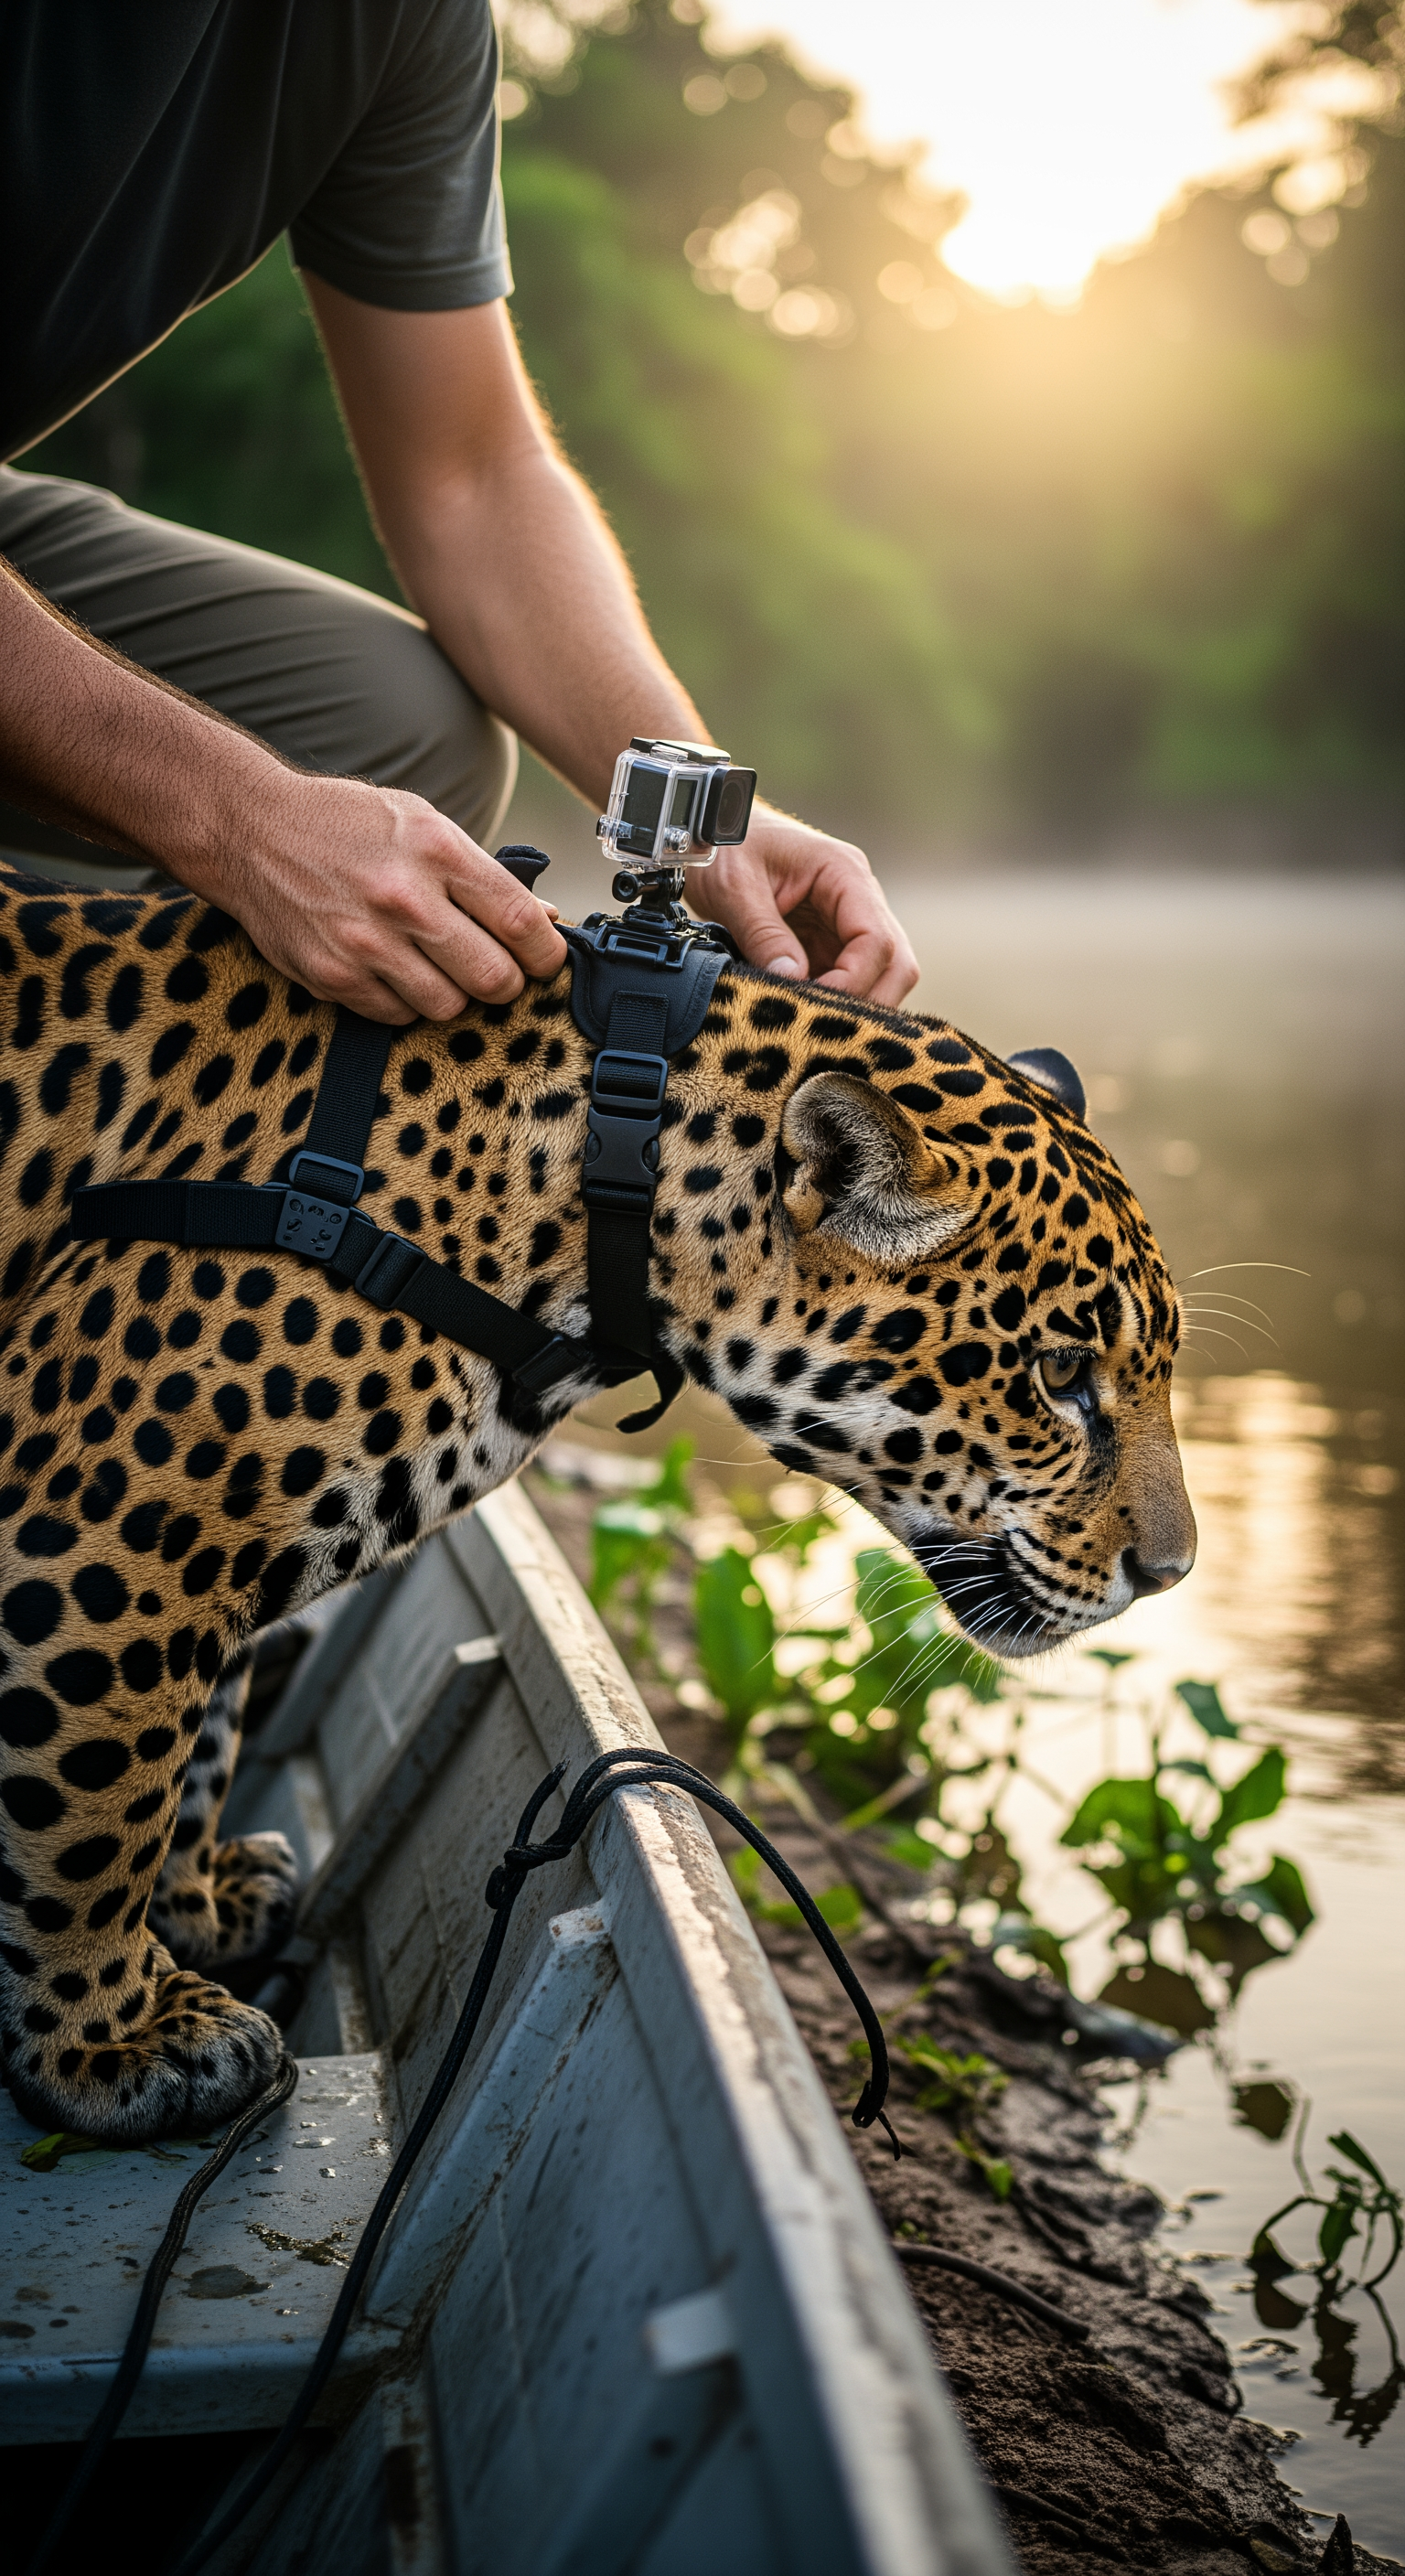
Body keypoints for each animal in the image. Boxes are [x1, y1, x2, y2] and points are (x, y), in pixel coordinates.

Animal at [0, 866, 1194, 2145]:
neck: (606, 1171)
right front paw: (113, 2043)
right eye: (1061, 1374)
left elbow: (200, 1739)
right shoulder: (105, 1532)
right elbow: (100, 1803)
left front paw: (198, 1904)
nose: (1172, 1573)